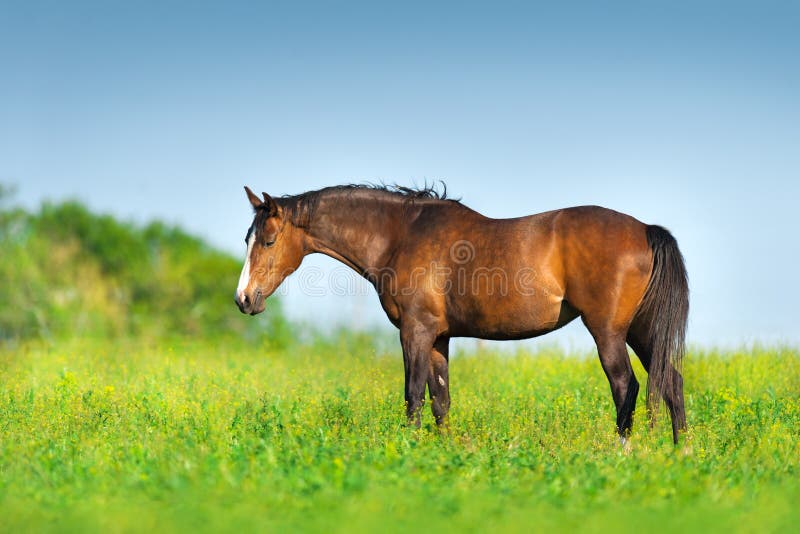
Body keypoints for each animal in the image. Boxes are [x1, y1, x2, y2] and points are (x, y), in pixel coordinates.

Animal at [233, 184, 688, 444]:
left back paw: (620, 453)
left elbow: (413, 395)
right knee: (671, 381)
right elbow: (441, 400)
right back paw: (680, 453)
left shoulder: (415, 332)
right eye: (247, 239)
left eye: (268, 240)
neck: (401, 235)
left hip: (608, 332)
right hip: (642, 331)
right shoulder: (439, 337)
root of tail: (645, 229)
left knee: (627, 386)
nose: (244, 299)